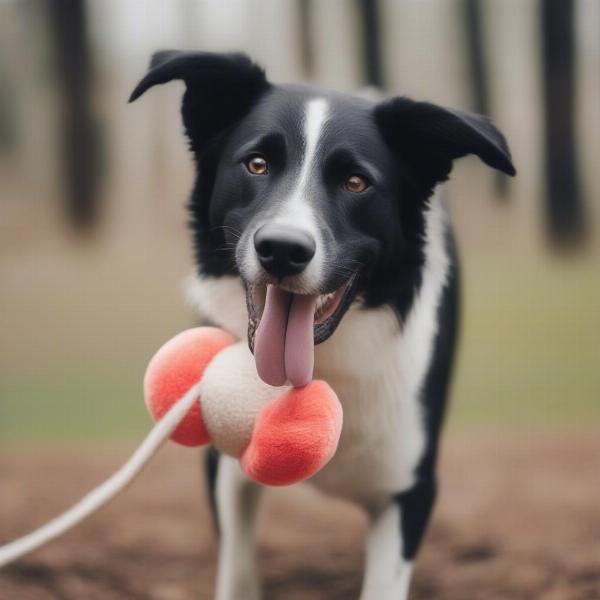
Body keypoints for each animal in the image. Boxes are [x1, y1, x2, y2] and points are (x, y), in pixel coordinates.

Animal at [131, 52, 516, 600]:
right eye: (257, 164)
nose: (282, 249)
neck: (320, 364)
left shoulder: (410, 489)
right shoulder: (223, 469)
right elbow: (237, 571)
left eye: (356, 182)